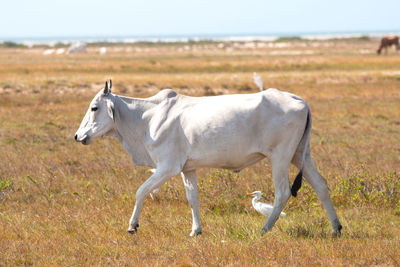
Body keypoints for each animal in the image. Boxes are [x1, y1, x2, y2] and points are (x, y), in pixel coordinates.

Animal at [73, 80, 342, 238]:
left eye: (94, 107)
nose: (77, 136)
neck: (147, 118)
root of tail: (301, 101)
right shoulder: (187, 169)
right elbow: (193, 199)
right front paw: (196, 230)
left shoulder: (167, 167)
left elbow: (141, 191)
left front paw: (132, 225)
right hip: (300, 154)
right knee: (321, 185)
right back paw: (336, 228)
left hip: (281, 156)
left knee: (283, 192)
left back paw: (265, 228)